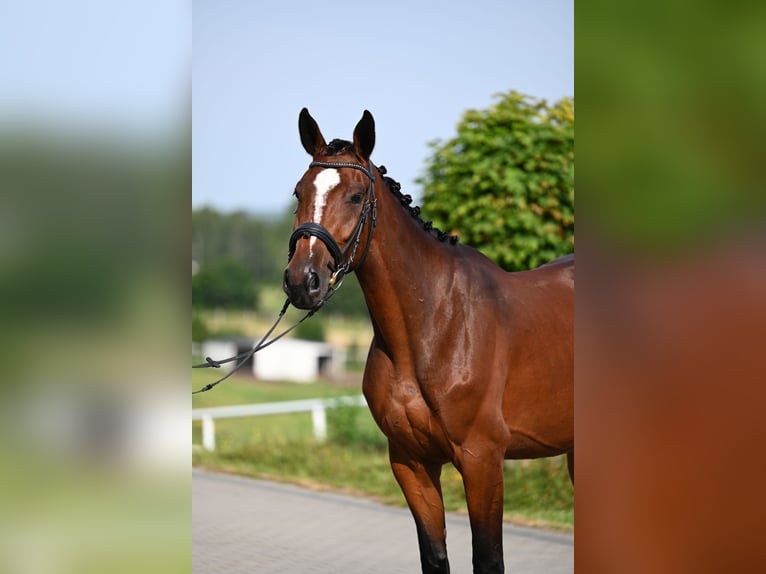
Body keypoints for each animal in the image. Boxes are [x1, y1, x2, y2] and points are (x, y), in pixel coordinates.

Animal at [284, 109, 572, 574]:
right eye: (299, 192)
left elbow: (488, 559)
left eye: (356, 196)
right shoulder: (411, 462)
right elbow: (434, 557)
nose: (301, 281)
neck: (435, 324)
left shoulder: (482, 461)